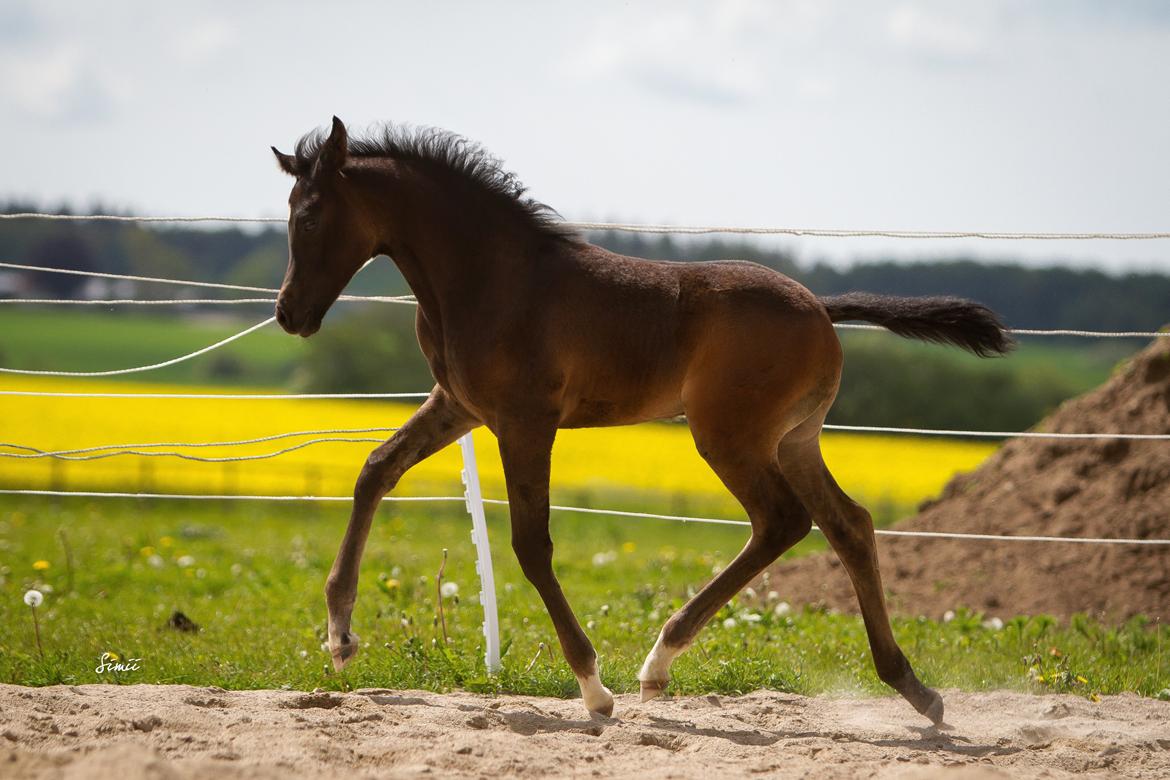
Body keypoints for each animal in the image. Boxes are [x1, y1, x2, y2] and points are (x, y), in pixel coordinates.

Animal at [269, 117, 1010, 725]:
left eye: (310, 215)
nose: (289, 314)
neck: (492, 279)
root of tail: (821, 309)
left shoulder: (524, 420)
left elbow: (531, 545)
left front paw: (594, 689)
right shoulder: (459, 407)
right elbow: (375, 470)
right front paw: (339, 635)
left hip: (730, 437)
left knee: (782, 521)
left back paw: (659, 661)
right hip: (794, 440)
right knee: (847, 524)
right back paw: (914, 687)